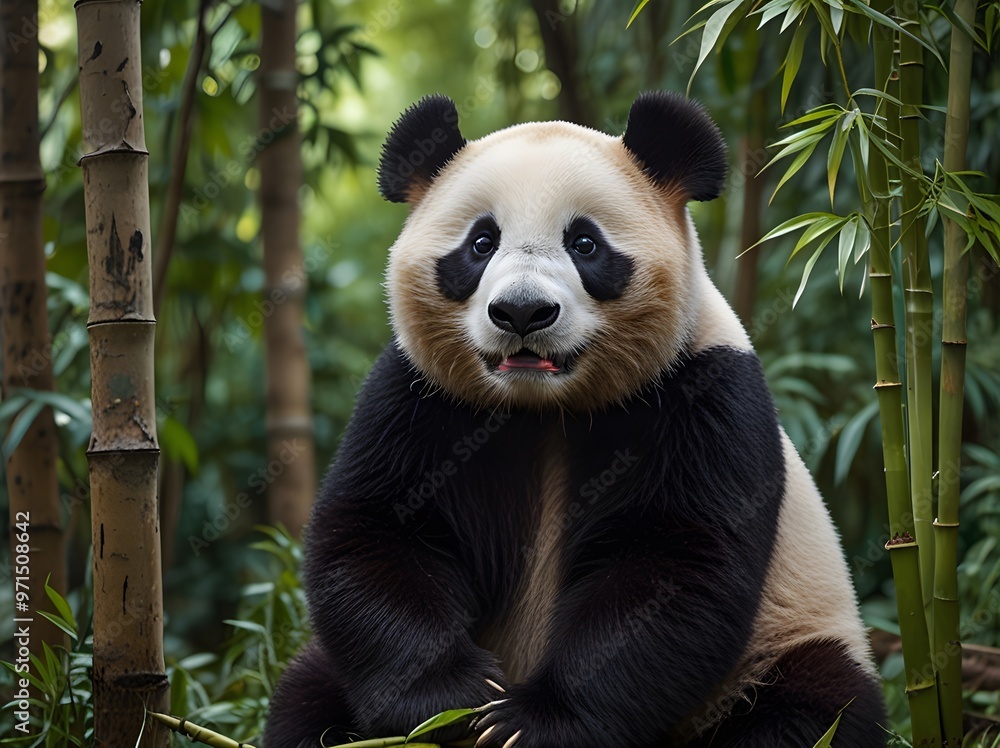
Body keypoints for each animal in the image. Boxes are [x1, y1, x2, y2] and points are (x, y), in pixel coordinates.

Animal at [264, 92, 887, 748]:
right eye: (481, 243)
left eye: (585, 244)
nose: (522, 312)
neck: (544, 408)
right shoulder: (420, 398)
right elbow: (381, 532)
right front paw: (457, 697)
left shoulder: (704, 393)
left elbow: (672, 565)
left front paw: (529, 722)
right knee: (305, 695)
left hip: (781, 645)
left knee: (814, 705)